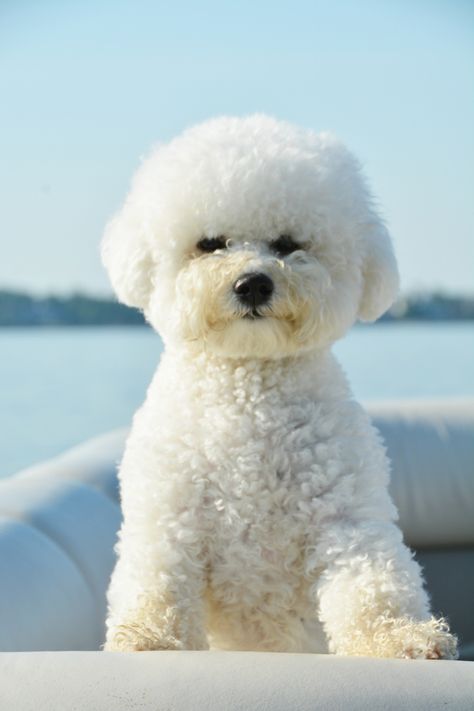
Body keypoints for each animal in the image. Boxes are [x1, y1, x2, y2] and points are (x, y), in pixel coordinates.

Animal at [102, 114, 458, 660]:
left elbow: (372, 584)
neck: (251, 388)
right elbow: (158, 582)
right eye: (211, 243)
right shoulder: (168, 515)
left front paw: (402, 637)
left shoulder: (346, 516)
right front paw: (147, 637)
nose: (252, 283)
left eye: (290, 243)